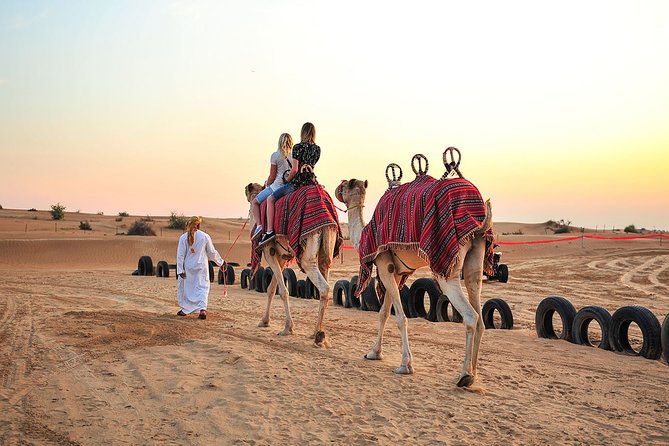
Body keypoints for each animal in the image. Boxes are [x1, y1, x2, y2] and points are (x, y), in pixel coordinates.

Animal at [244, 183, 340, 346]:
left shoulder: (268, 251)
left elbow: (283, 291)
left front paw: (287, 328)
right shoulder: (281, 256)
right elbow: (271, 288)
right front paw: (264, 321)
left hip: (308, 252)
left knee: (324, 287)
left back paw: (318, 336)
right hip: (327, 246)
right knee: (325, 271)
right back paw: (317, 332)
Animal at [336, 167, 494, 386]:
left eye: (345, 185)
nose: (336, 188)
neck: (365, 234)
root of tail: (479, 220)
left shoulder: (384, 265)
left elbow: (401, 318)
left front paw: (405, 365)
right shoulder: (394, 273)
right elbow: (383, 313)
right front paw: (374, 353)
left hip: (449, 266)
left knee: (470, 316)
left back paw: (464, 375)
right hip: (476, 255)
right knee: (478, 304)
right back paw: (474, 374)